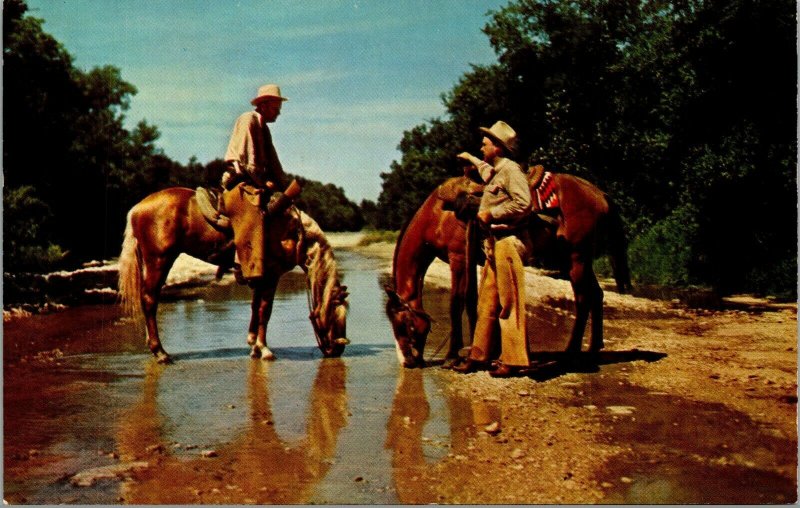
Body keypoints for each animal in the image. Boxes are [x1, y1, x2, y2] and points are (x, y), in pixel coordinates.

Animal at [117, 185, 348, 364]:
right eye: (337, 315)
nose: (337, 350)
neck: (290, 231)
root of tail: (137, 208)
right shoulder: (271, 276)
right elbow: (265, 310)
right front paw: (264, 349)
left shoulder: (261, 277)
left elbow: (256, 308)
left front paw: (254, 346)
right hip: (159, 260)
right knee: (149, 299)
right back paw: (161, 353)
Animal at [384, 173, 636, 368]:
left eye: (403, 324)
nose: (407, 362)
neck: (437, 216)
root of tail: (599, 193)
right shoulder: (470, 260)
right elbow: (472, 301)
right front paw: (480, 351)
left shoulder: (458, 258)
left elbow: (456, 304)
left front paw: (452, 355)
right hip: (576, 260)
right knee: (596, 294)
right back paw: (593, 349)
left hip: (577, 259)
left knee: (583, 299)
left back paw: (571, 353)